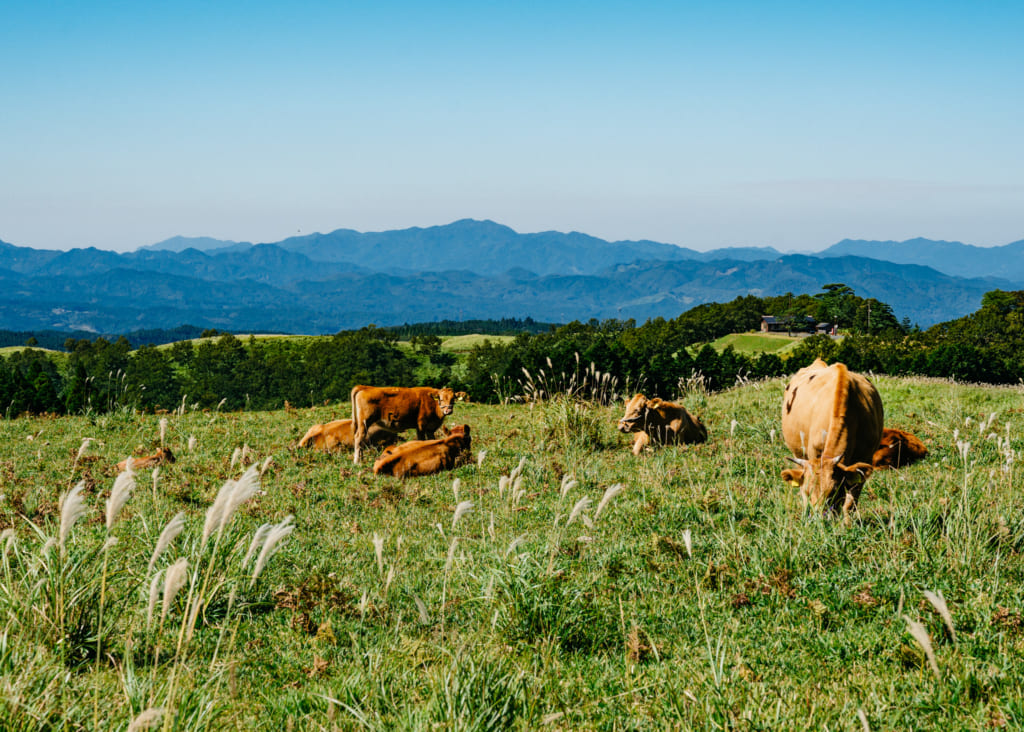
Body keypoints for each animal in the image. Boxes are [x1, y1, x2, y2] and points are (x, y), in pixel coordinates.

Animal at [780, 358, 884, 519]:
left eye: (834, 491)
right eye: (809, 491)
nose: (819, 519)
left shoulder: (864, 460)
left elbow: (850, 504)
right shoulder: (813, 454)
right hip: (798, 453)